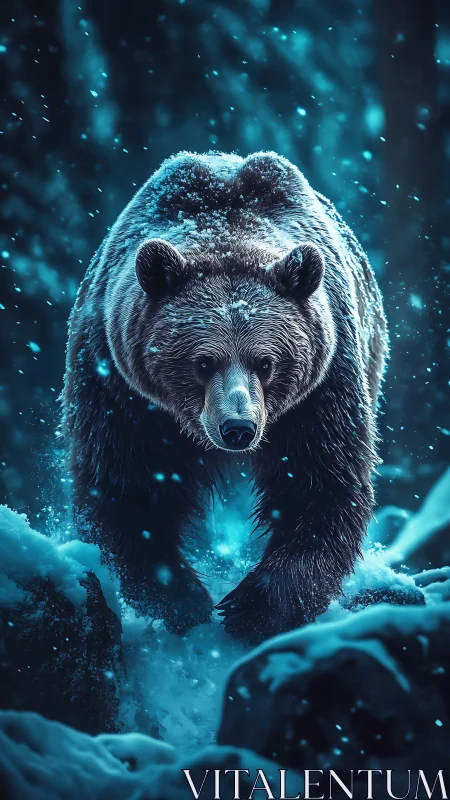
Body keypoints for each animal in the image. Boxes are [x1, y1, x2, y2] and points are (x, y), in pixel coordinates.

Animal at [61, 151, 388, 646]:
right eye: (203, 362)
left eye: (266, 362)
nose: (238, 427)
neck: (224, 232)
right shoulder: (121, 386)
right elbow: (126, 484)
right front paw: (183, 600)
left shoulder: (322, 389)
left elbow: (321, 484)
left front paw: (251, 608)